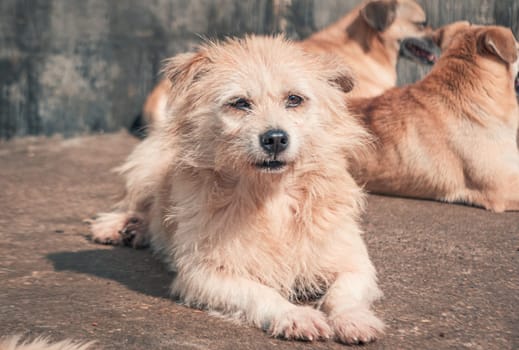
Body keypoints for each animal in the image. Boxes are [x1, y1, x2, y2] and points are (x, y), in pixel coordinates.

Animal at [90, 36, 386, 344]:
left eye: (294, 99)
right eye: (240, 103)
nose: (275, 139)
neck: (272, 195)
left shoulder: (354, 262)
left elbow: (343, 293)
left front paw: (353, 319)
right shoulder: (203, 273)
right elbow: (260, 292)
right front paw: (294, 315)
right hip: (147, 166)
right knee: (135, 204)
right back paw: (117, 226)